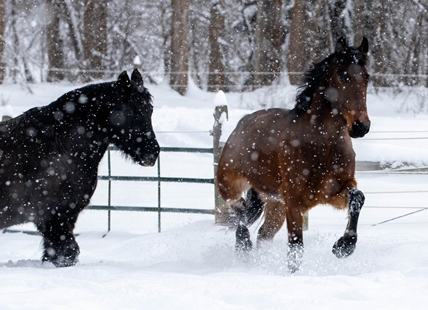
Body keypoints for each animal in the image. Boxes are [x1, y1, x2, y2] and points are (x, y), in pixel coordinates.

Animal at [0, 69, 160, 266]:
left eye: (149, 109)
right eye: (128, 110)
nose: (152, 153)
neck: (60, 146)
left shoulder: (64, 219)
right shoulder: (55, 218)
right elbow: (65, 254)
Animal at [217, 37, 372, 272]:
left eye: (366, 77)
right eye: (343, 76)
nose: (361, 126)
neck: (323, 147)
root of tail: (240, 126)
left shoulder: (333, 192)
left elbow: (358, 198)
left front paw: (343, 247)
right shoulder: (295, 203)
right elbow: (296, 249)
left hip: (276, 206)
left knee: (263, 234)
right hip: (230, 188)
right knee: (241, 214)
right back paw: (244, 248)